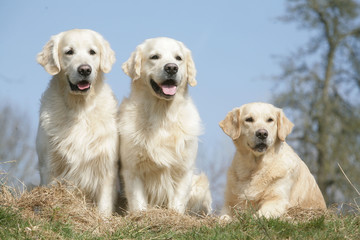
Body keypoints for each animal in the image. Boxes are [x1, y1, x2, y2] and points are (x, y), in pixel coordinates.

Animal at [36, 29, 118, 217]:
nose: (85, 70)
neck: (80, 108)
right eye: (69, 52)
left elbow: (104, 206)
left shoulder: (106, 166)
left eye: (92, 52)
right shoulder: (50, 166)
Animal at [119, 36, 211, 215]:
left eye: (178, 58)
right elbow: (138, 201)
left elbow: (178, 201)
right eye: (154, 57)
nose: (171, 68)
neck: (162, 115)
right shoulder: (132, 168)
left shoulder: (184, 169)